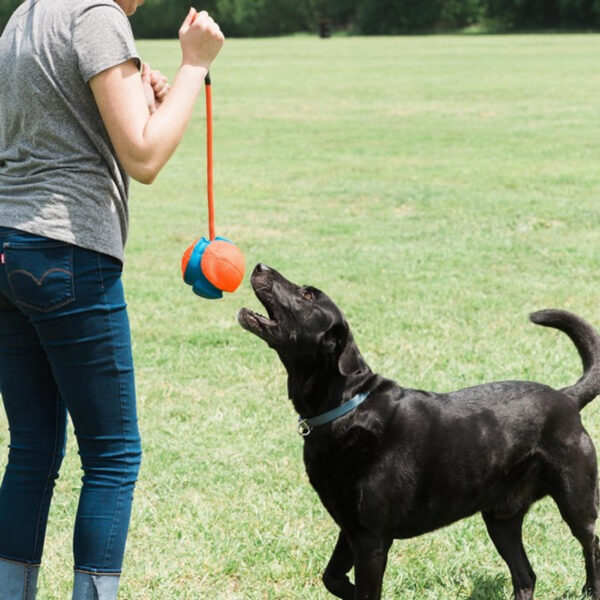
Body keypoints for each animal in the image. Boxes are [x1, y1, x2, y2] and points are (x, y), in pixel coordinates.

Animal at [238, 264, 600, 596]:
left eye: (308, 295)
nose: (259, 266)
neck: (346, 407)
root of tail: (567, 397)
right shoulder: (350, 527)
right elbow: (332, 578)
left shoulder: (371, 539)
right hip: (501, 519)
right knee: (526, 576)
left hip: (576, 500)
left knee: (590, 545)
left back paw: (589, 588)